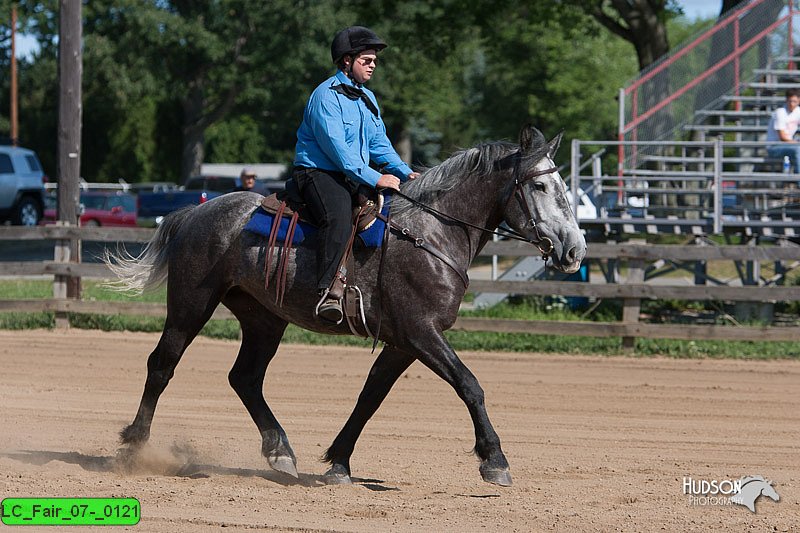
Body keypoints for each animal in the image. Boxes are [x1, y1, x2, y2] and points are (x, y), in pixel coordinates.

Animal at [106, 125, 588, 486]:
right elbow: (469, 384)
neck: (430, 233)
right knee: (162, 364)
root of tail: (196, 212)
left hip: (264, 319)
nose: (575, 250)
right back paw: (134, 446)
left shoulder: (402, 342)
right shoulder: (421, 332)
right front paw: (494, 460)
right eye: (540, 184)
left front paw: (339, 461)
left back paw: (280, 451)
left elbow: (370, 396)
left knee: (245, 378)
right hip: (191, 304)